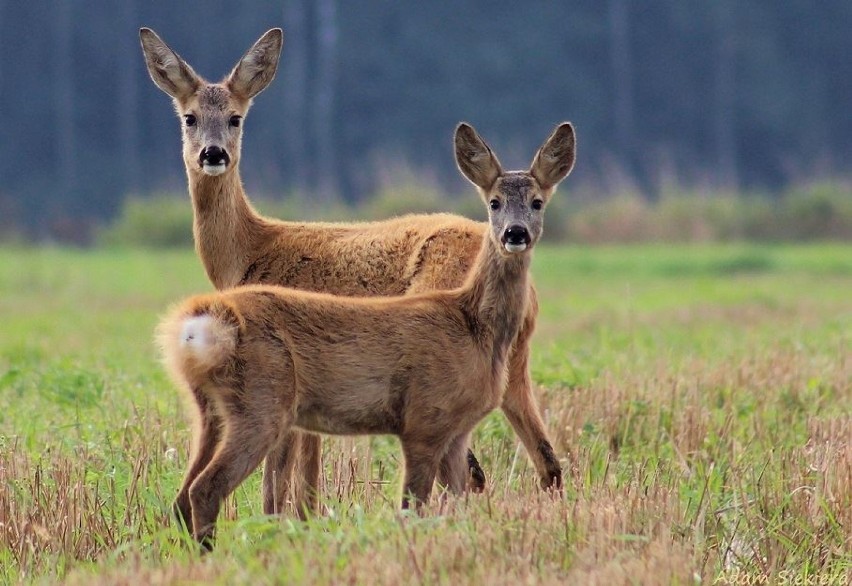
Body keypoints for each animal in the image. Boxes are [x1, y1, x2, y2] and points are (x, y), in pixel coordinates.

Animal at [140, 26, 564, 516]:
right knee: (545, 462)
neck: (251, 248)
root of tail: (532, 297)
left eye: (235, 118)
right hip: (516, 367)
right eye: (189, 117)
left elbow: (280, 482)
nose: (213, 154)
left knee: (472, 470)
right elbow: (306, 476)